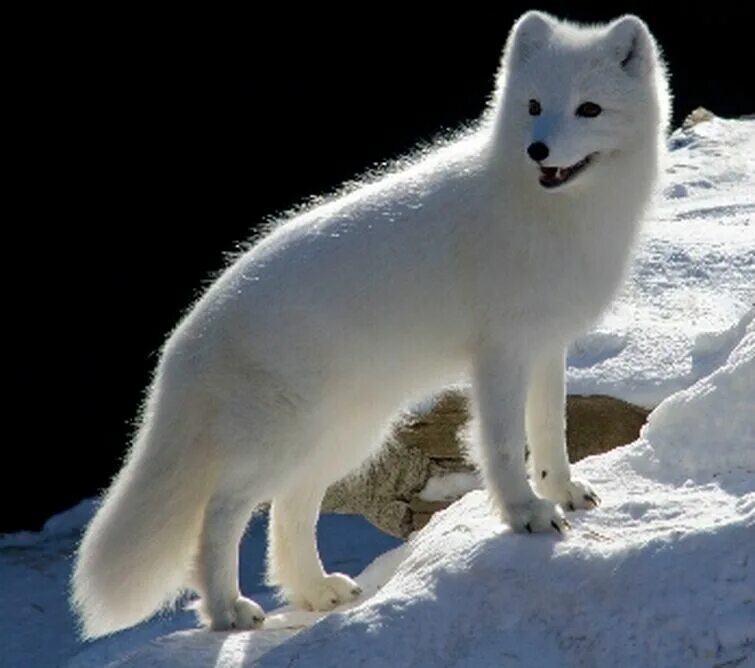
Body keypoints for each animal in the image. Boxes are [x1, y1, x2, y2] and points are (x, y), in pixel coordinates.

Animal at [74, 10, 672, 636]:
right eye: (533, 105)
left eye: (589, 109)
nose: (537, 149)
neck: (554, 214)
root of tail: (188, 332)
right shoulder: (501, 353)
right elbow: (506, 446)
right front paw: (525, 515)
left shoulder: (547, 344)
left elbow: (551, 431)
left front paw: (564, 492)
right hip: (284, 440)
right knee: (221, 513)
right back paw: (227, 610)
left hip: (344, 438)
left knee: (287, 511)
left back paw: (316, 592)